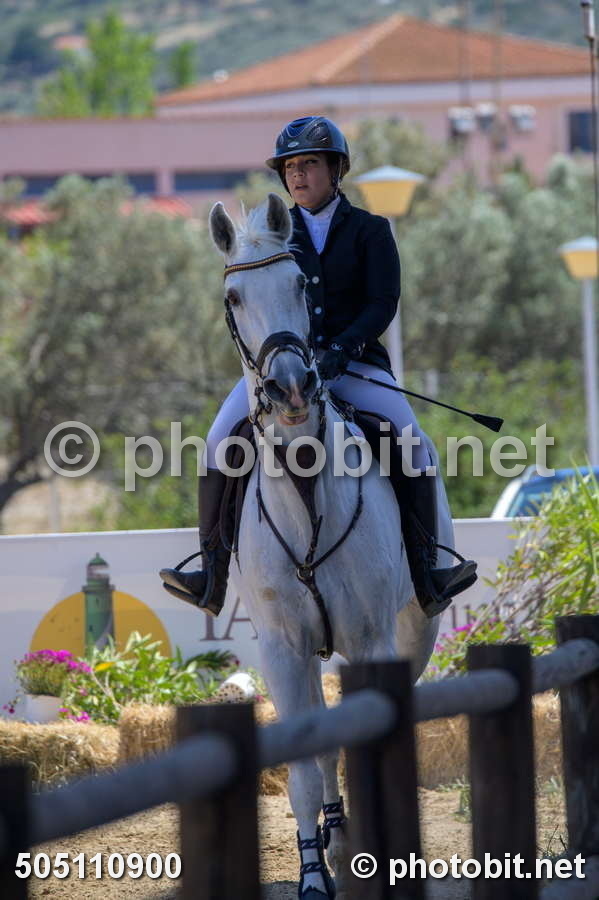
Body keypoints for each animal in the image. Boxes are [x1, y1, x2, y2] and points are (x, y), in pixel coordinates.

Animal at [208, 193, 454, 899]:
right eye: (233, 297)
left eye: (300, 285)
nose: (291, 388)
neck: (306, 485)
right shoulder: (284, 648)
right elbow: (304, 766)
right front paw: (316, 871)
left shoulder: (370, 640)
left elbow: (361, 740)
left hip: (413, 633)